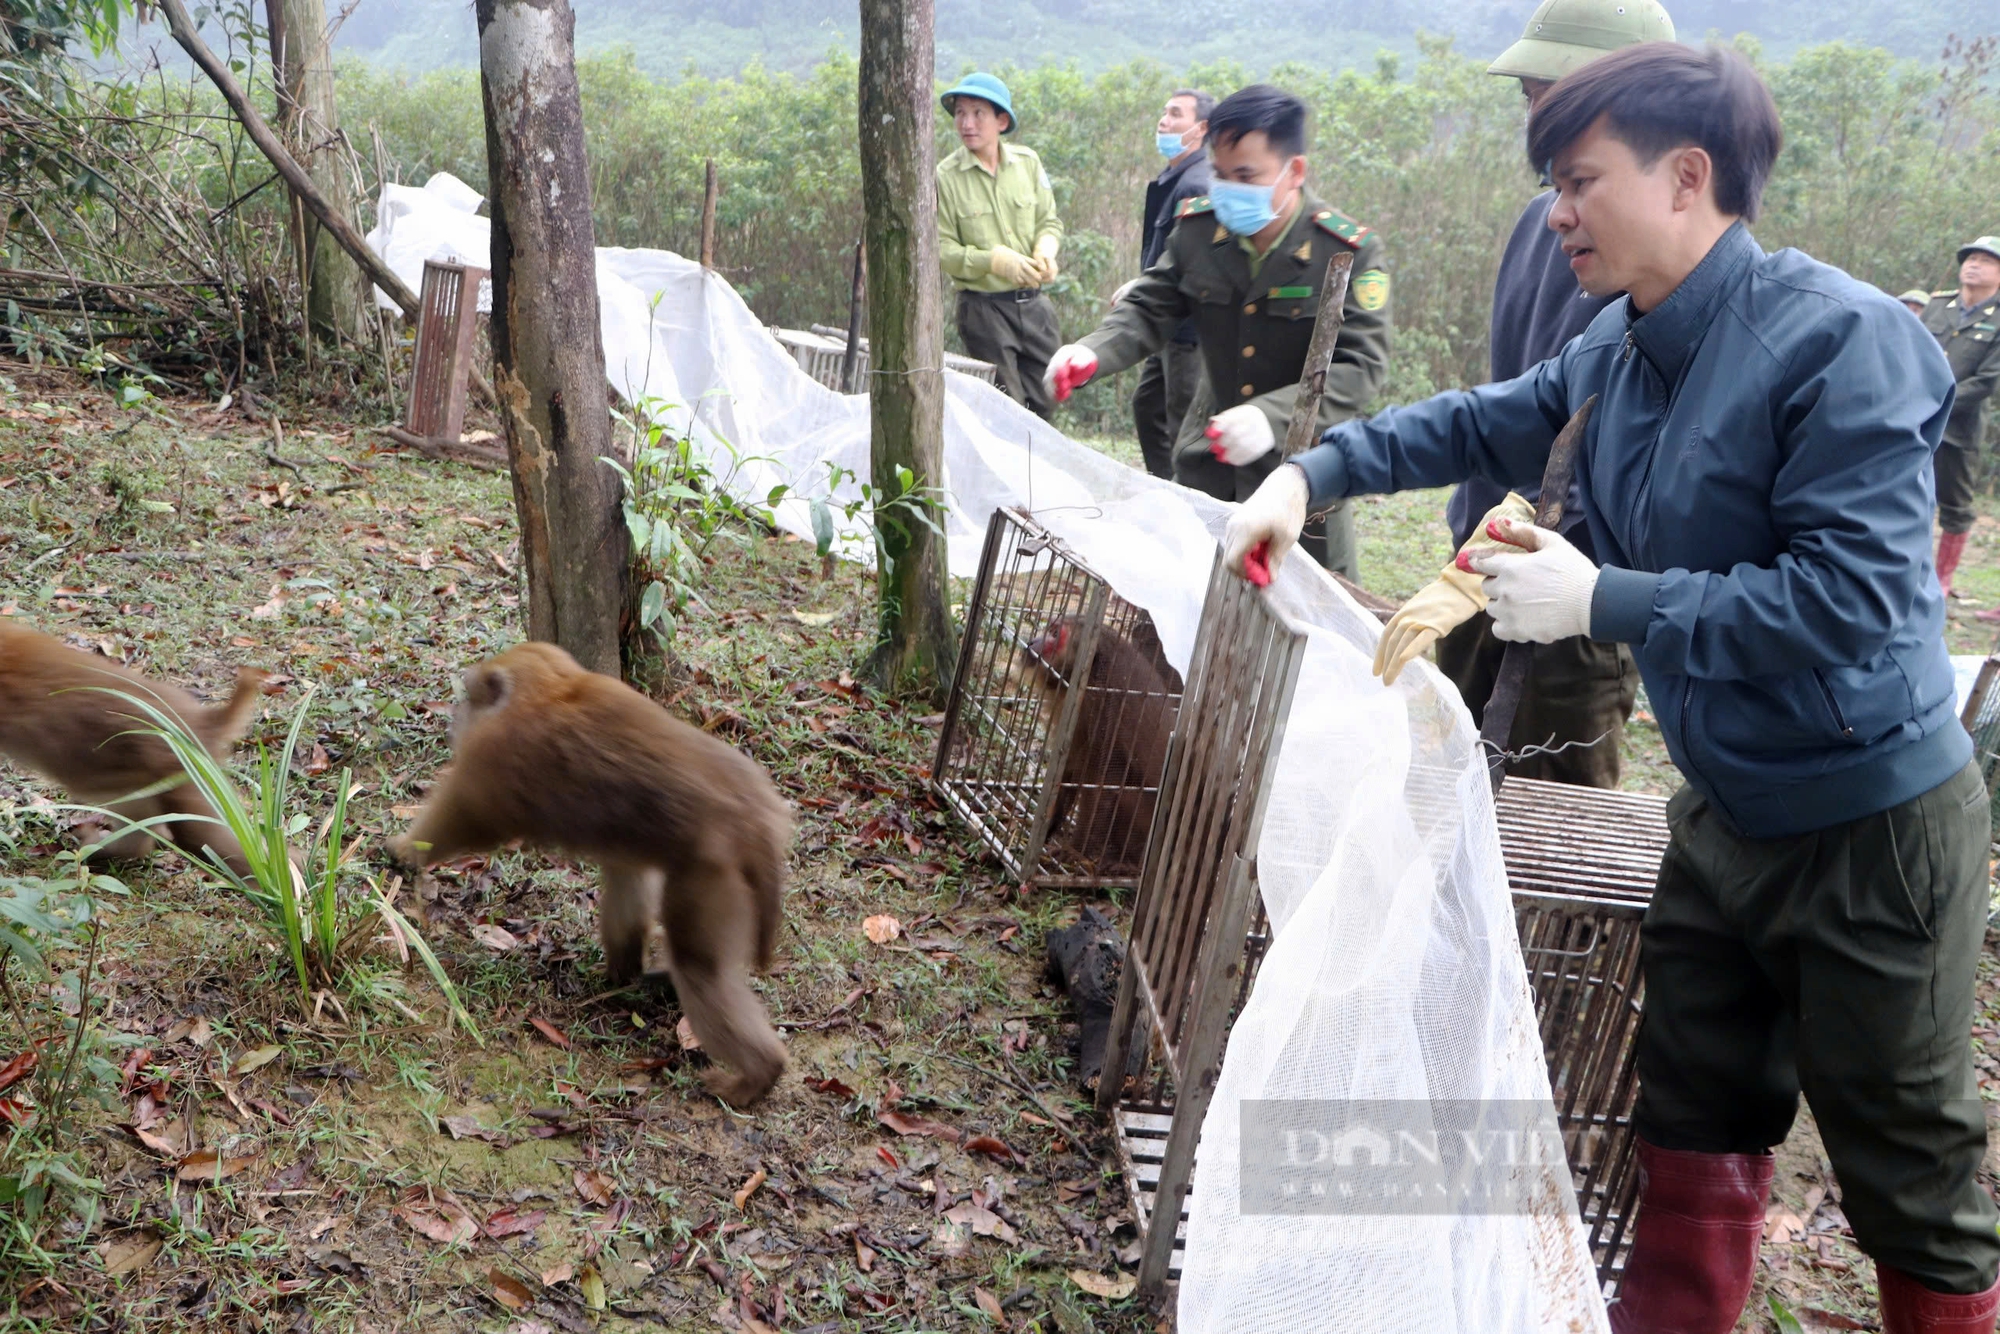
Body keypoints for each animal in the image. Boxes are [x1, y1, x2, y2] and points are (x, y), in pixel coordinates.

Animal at [386, 640, 792, 1112]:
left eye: (470, 697)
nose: (456, 719)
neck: (547, 690)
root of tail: (753, 818)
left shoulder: (496, 754)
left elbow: (467, 818)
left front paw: (404, 850)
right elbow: (627, 873)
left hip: (712, 877)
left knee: (700, 969)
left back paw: (758, 1074)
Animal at [1024, 620, 1176, 876]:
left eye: (1054, 633)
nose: (1032, 641)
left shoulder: (1102, 704)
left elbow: (1104, 781)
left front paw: (1075, 850)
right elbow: (1072, 767)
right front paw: (1049, 827)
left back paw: (1129, 866)